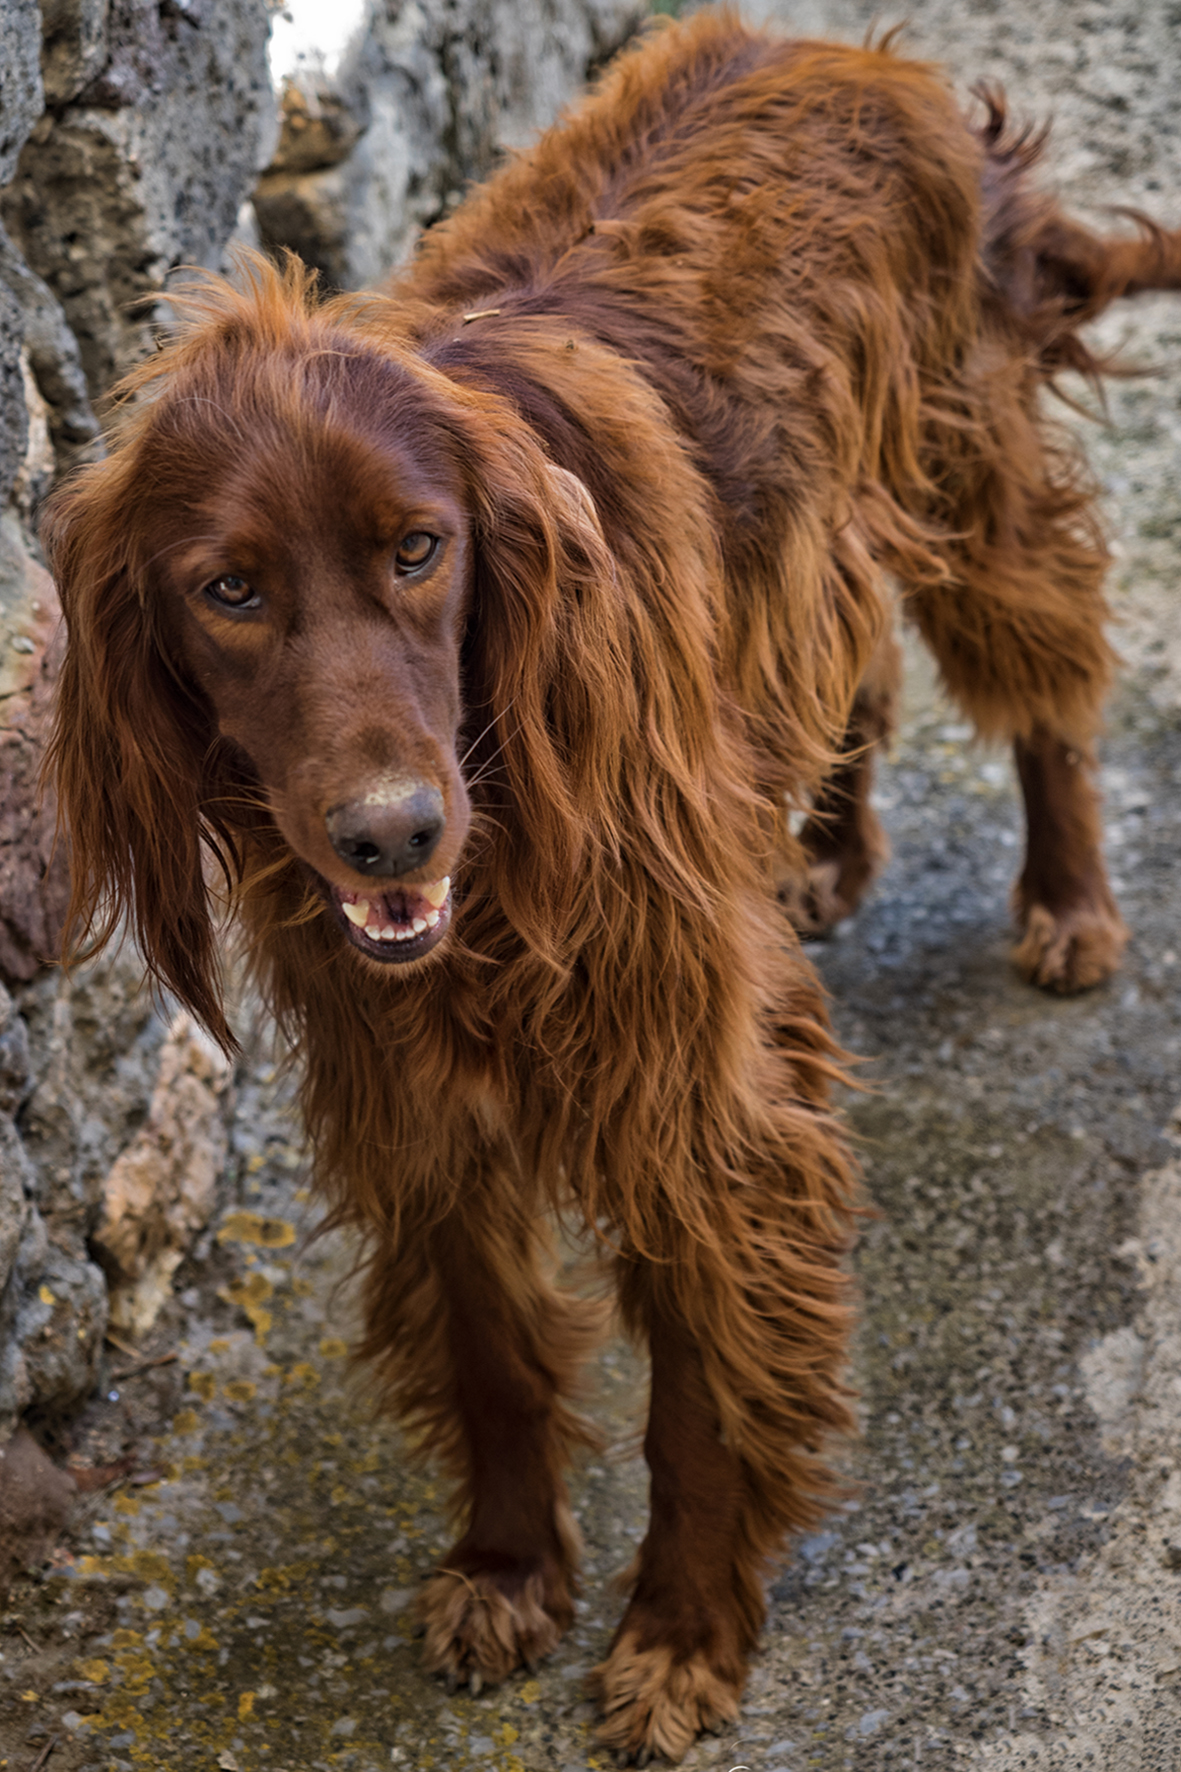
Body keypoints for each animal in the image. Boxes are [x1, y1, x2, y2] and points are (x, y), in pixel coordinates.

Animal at [41, 10, 1177, 1757]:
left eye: (419, 549)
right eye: (227, 590)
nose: (390, 837)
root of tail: (854, 54)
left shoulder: (689, 1097)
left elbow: (699, 1403)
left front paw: (680, 1640)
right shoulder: (412, 1076)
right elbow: (498, 1356)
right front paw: (509, 1574)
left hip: (959, 464)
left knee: (1045, 659)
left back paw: (1066, 904)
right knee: (851, 672)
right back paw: (823, 852)